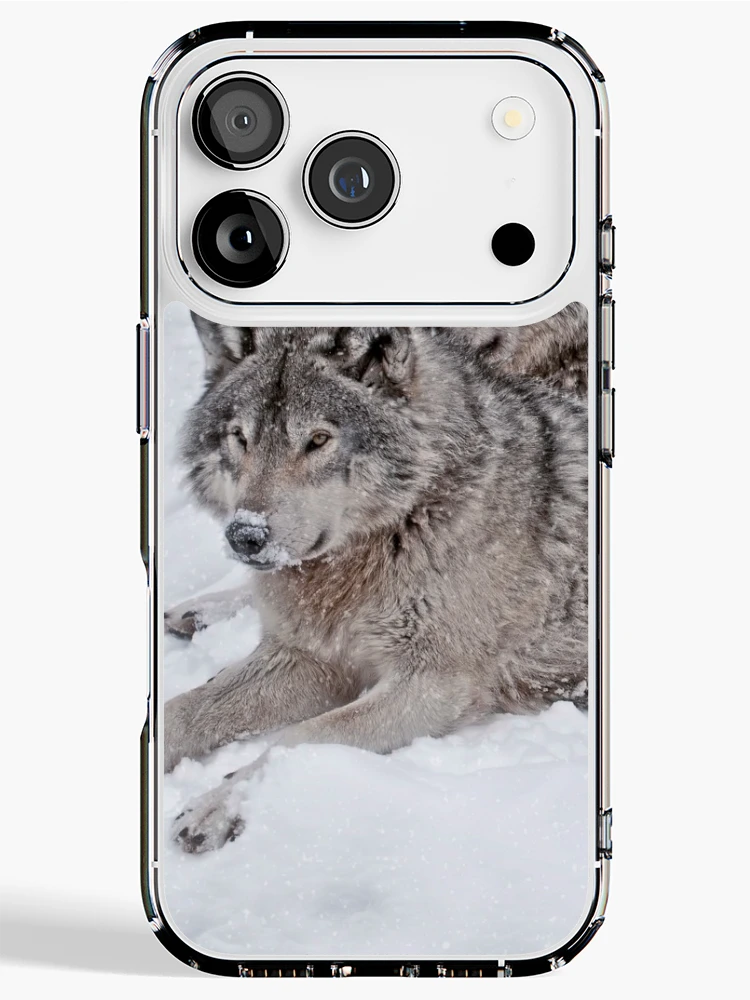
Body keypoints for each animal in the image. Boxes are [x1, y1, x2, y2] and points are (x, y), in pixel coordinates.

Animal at [165, 307, 589, 853]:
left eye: (318, 440)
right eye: (241, 437)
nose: (245, 535)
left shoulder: (431, 687)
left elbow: (299, 737)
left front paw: (217, 805)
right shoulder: (310, 655)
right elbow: (182, 710)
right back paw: (198, 609)